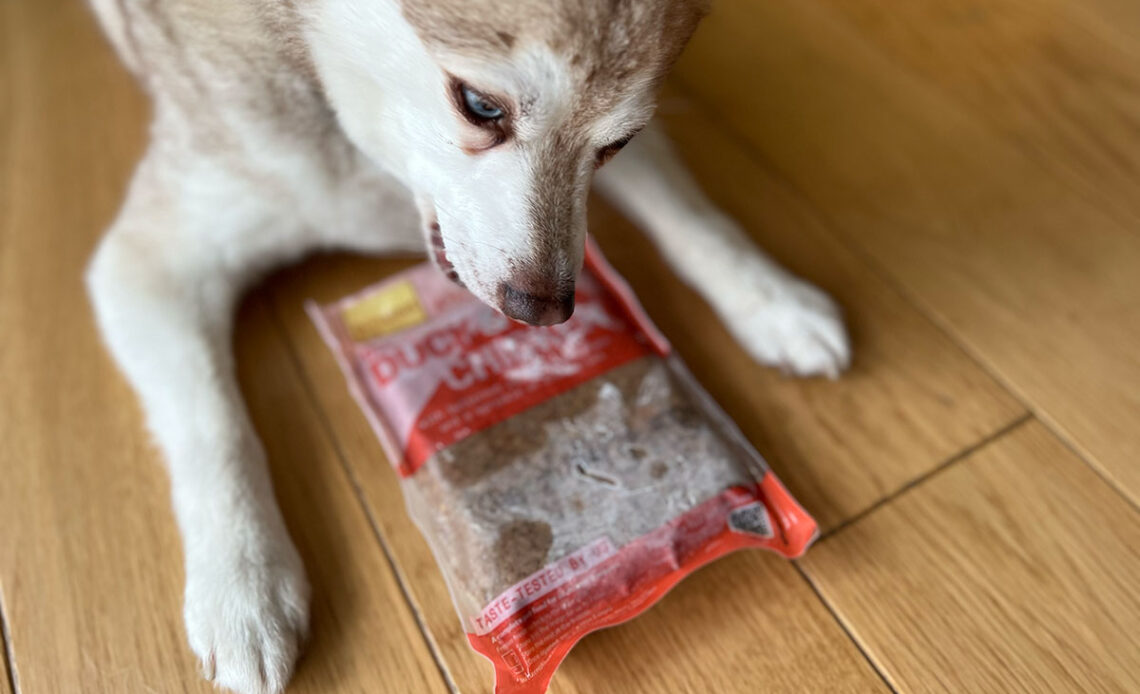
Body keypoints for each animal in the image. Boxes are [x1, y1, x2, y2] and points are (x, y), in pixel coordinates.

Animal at [84, 1, 848, 692]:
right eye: (481, 106)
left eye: (617, 144)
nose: (545, 310)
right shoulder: (146, 265)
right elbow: (214, 427)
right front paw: (242, 582)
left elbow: (693, 216)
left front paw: (770, 296)